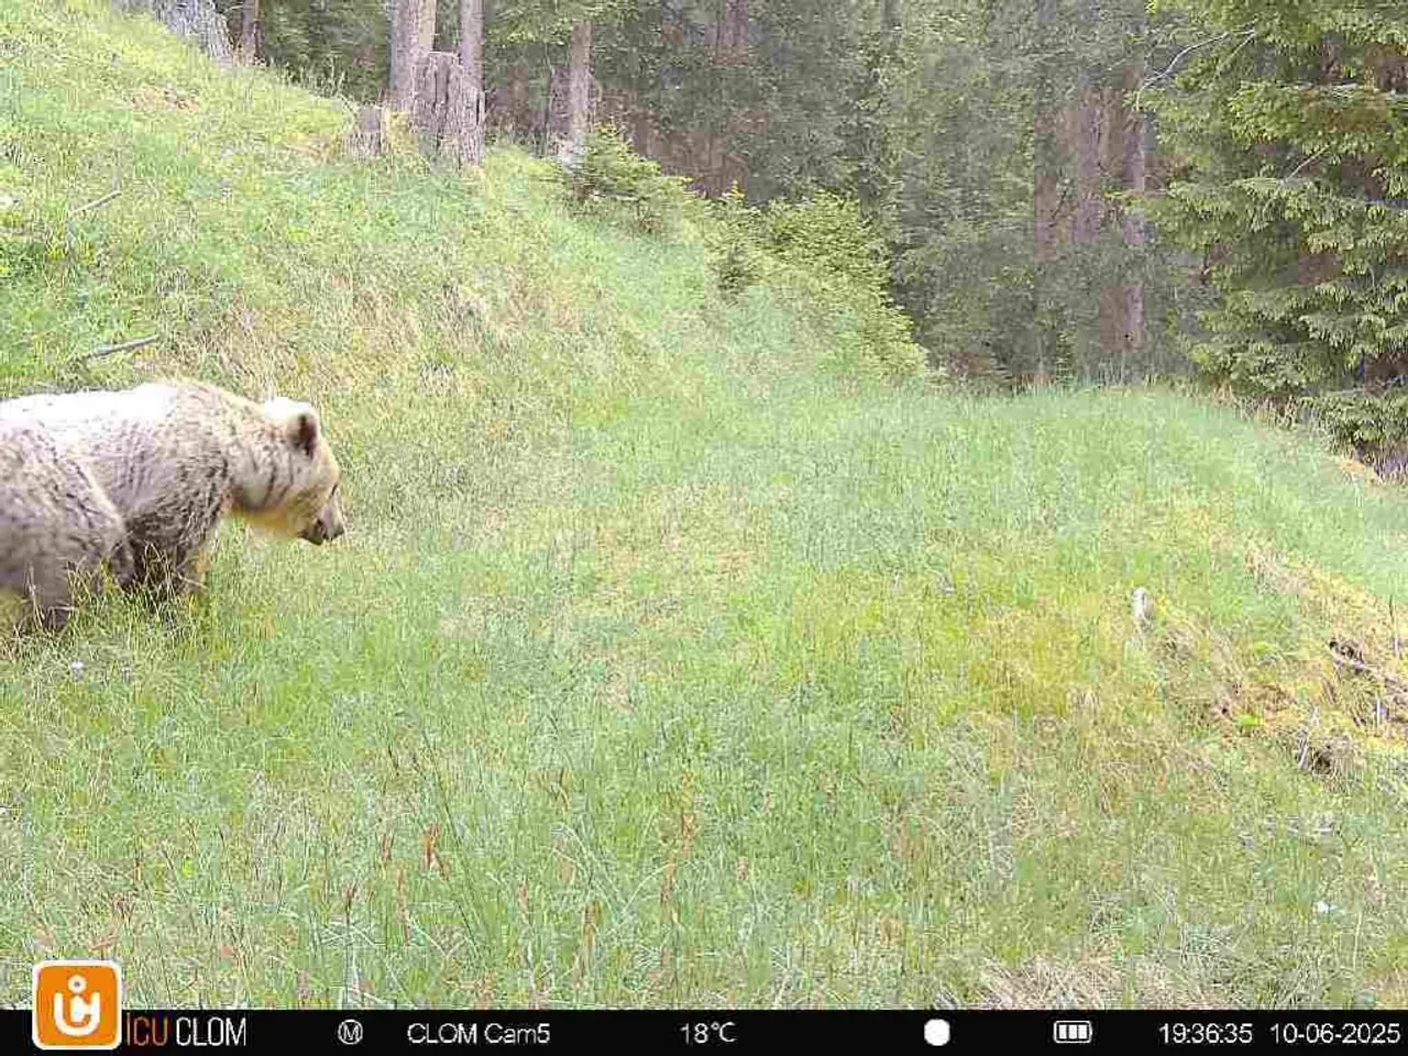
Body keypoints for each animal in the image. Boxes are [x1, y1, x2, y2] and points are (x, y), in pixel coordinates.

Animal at [0, 379, 345, 630]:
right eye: (334, 487)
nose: (338, 527)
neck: (239, 462)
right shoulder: (186, 483)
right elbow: (167, 562)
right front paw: (176, 612)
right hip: (49, 495)